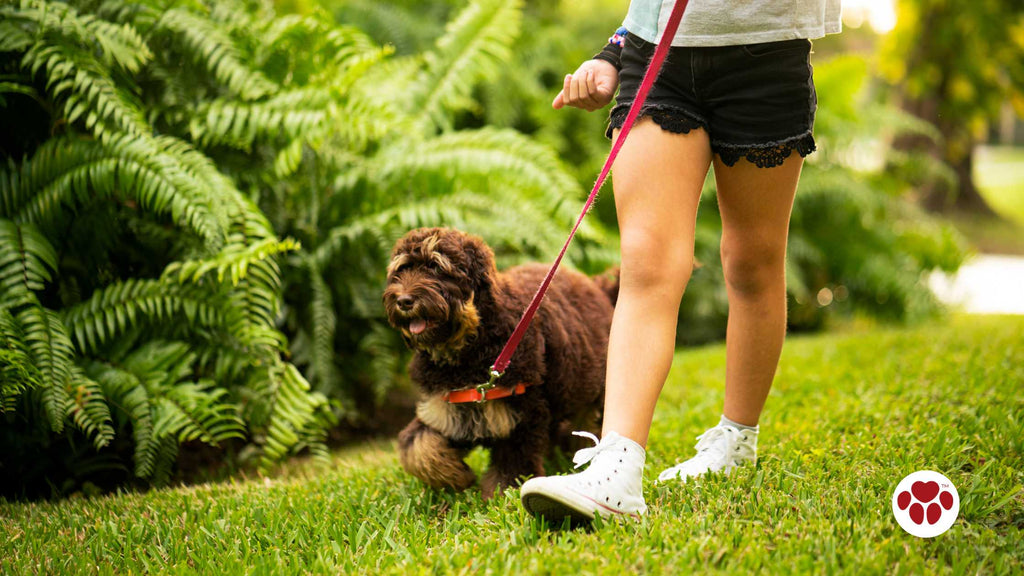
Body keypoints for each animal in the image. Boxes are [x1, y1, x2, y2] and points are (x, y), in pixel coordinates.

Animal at [380, 226, 610, 496]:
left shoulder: (521, 414)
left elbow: (512, 465)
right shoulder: (444, 409)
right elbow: (417, 447)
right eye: (402, 269)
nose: (404, 301)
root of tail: (595, 286)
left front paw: (500, 495)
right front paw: (457, 477)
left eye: (436, 267)